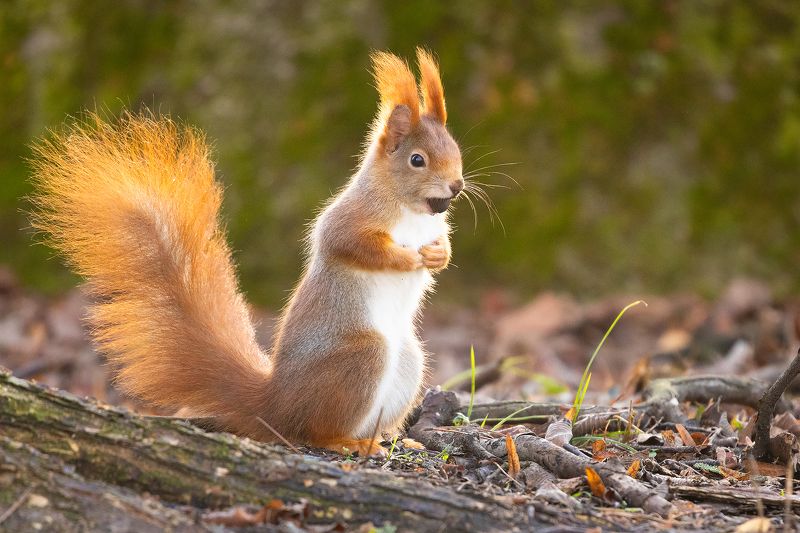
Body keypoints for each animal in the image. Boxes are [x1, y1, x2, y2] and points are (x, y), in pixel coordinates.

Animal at [29, 48, 464, 456]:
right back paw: (347, 442)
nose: (457, 186)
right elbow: (352, 244)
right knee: (314, 431)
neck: (412, 212)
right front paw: (407, 258)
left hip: (408, 362)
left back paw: (397, 439)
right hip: (361, 358)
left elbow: (442, 245)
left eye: (457, 149)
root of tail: (276, 404)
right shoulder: (349, 220)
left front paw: (438, 256)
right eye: (417, 160)